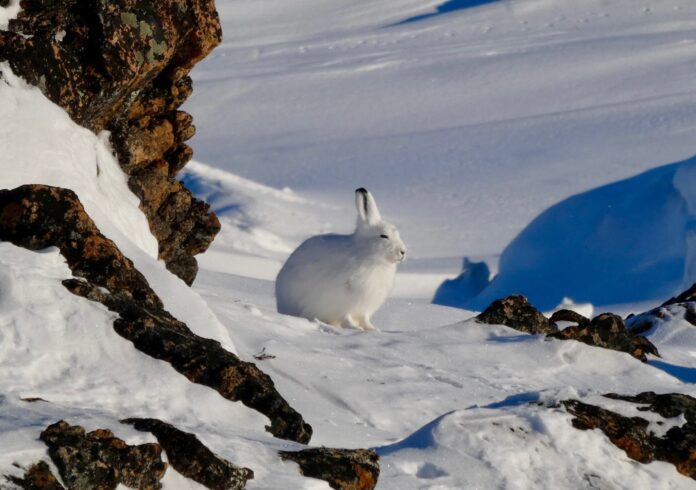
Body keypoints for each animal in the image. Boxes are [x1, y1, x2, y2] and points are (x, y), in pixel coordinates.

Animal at [275, 188, 407, 330]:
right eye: (383, 236)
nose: (403, 252)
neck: (367, 254)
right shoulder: (344, 304)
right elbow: (346, 317)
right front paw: (355, 328)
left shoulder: (364, 306)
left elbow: (365, 319)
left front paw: (372, 329)